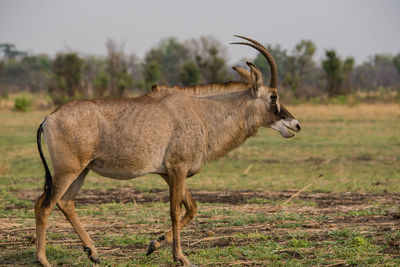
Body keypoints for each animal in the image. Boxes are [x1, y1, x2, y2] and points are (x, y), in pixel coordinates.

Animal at [35, 36, 300, 267]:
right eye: (273, 96)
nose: (295, 124)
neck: (201, 113)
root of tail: (50, 117)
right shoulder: (178, 168)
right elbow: (175, 210)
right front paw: (180, 257)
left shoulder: (168, 173)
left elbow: (191, 208)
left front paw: (155, 244)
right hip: (68, 171)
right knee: (44, 205)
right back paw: (43, 260)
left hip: (82, 171)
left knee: (65, 202)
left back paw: (93, 253)